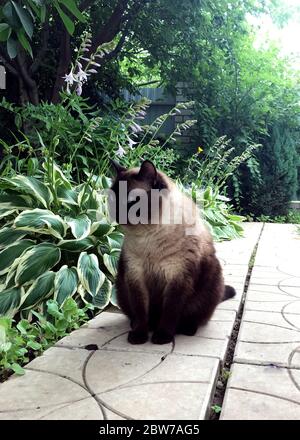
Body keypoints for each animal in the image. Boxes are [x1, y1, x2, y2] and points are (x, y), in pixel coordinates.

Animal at [110, 160, 237, 346]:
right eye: (112, 200)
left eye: (131, 202)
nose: (115, 214)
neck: (148, 235)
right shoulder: (136, 276)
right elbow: (141, 311)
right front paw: (139, 336)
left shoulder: (178, 278)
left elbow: (170, 311)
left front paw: (162, 337)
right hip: (120, 287)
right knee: (137, 316)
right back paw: (145, 326)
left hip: (211, 284)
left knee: (194, 317)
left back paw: (185, 329)